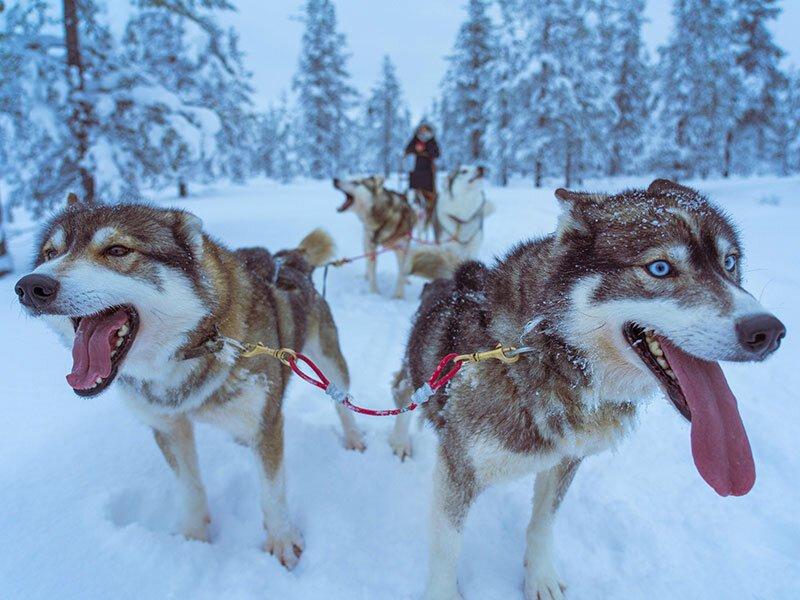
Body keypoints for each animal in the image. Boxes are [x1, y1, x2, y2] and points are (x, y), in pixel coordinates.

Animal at [14, 196, 364, 568]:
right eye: (51, 253)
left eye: (117, 250)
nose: (31, 286)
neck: (194, 346)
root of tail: (290, 258)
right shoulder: (168, 427)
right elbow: (189, 487)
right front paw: (193, 538)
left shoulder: (266, 424)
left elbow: (272, 492)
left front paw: (282, 540)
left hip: (330, 363)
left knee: (342, 402)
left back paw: (354, 438)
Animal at [390, 179, 784, 600]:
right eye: (660, 268)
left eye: (730, 263)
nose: (768, 331)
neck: (547, 351)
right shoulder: (458, 467)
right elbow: (447, 547)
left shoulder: (566, 459)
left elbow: (543, 522)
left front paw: (540, 577)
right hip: (415, 379)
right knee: (401, 392)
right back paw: (400, 440)